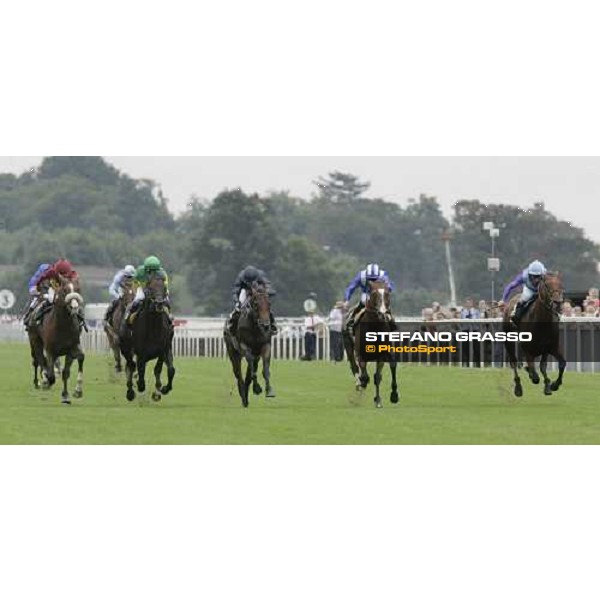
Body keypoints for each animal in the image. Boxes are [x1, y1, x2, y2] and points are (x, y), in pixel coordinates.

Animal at [27, 276, 85, 404]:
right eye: (64, 290)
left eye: (78, 289)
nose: (75, 307)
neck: (63, 326)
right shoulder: (50, 350)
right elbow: (51, 374)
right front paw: (45, 381)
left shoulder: (71, 348)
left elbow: (67, 371)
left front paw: (70, 394)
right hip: (35, 340)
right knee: (39, 359)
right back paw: (41, 381)